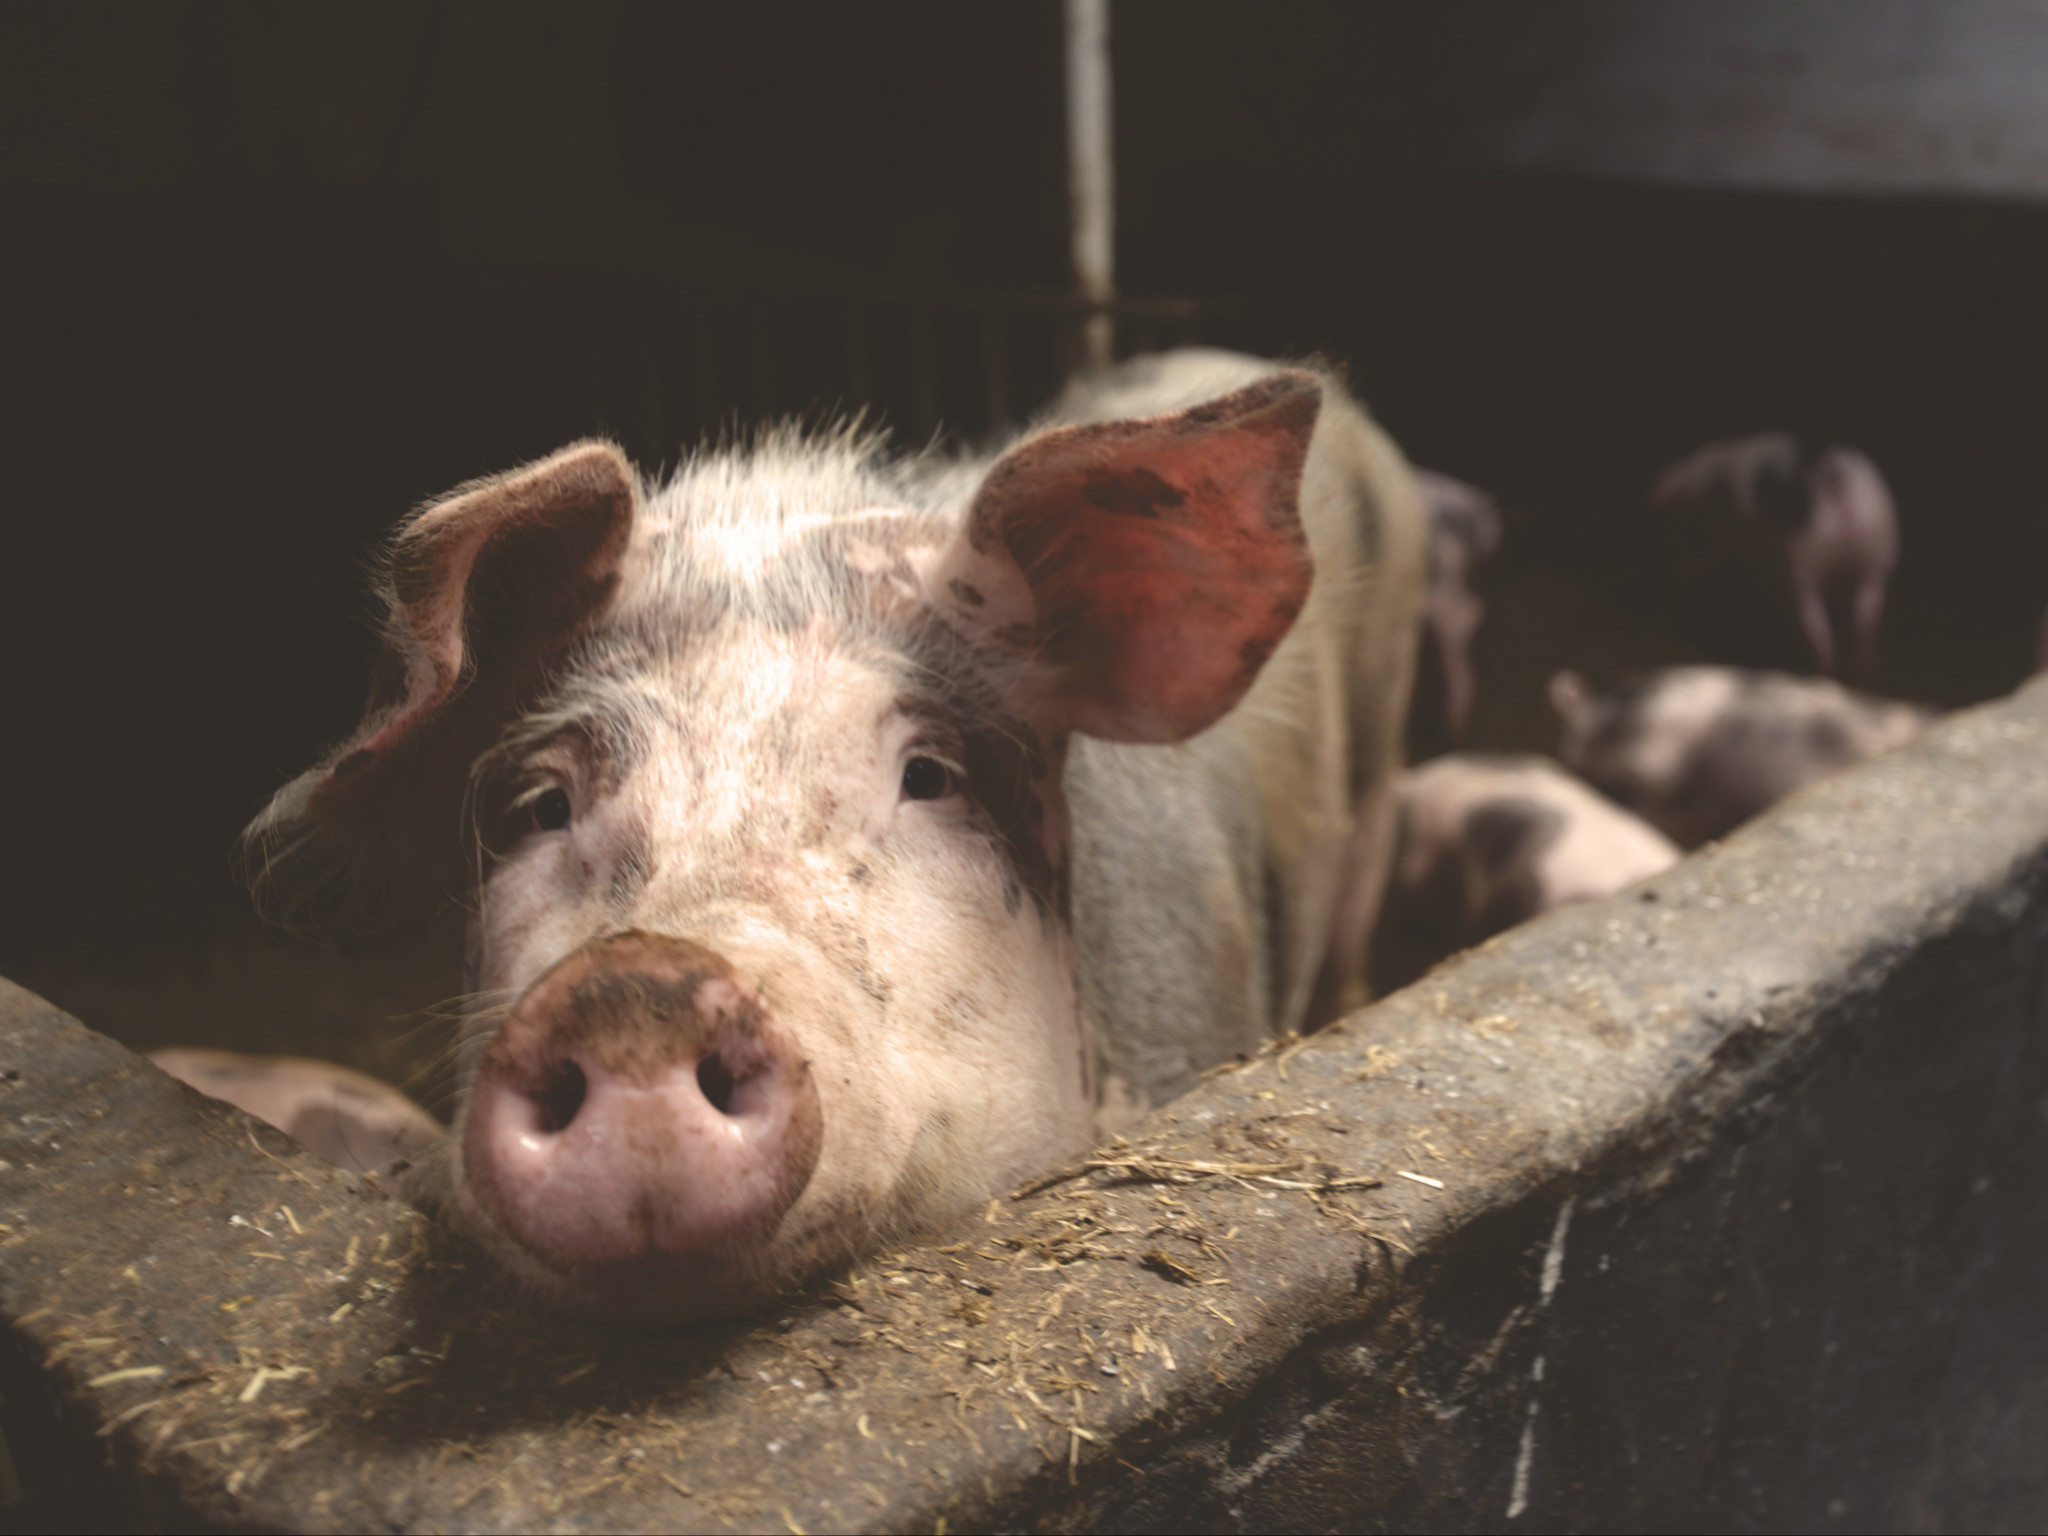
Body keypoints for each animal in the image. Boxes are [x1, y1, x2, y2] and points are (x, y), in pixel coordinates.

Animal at [1649, 433, 1899, 680]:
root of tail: (1828, 467)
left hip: (1799, 561)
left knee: (1815, 624)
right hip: (1862, 558)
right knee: (1860, 617)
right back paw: (1858, 674)